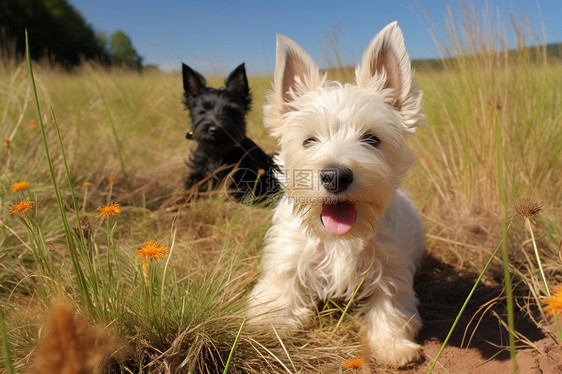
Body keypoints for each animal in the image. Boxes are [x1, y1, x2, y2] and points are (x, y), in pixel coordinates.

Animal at [247, 21, 422, 366]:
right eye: (309, 140)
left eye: (371, 138)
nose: (335, 175)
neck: (338, 238)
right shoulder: (287, 258)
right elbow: (279, 290)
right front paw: (268, 322)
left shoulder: (391, 268)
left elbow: (389, 306)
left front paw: (393, 346)